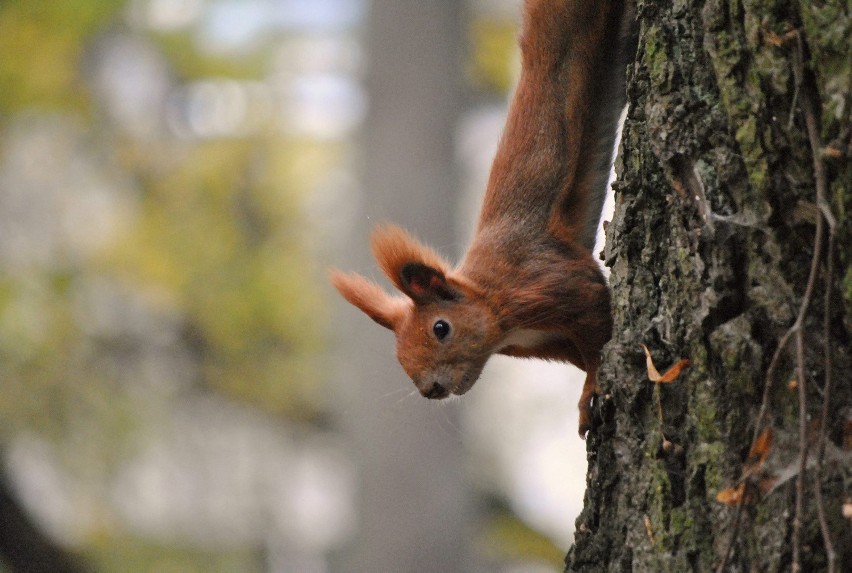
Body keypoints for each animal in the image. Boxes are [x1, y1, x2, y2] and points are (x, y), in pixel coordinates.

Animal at [332, 0, 632, 436]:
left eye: (441, 328)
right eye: (399, 356)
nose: (431, 390)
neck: (492, 304)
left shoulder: (552, 284)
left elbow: (598, 339)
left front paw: (590, 392)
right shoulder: (546, 341)